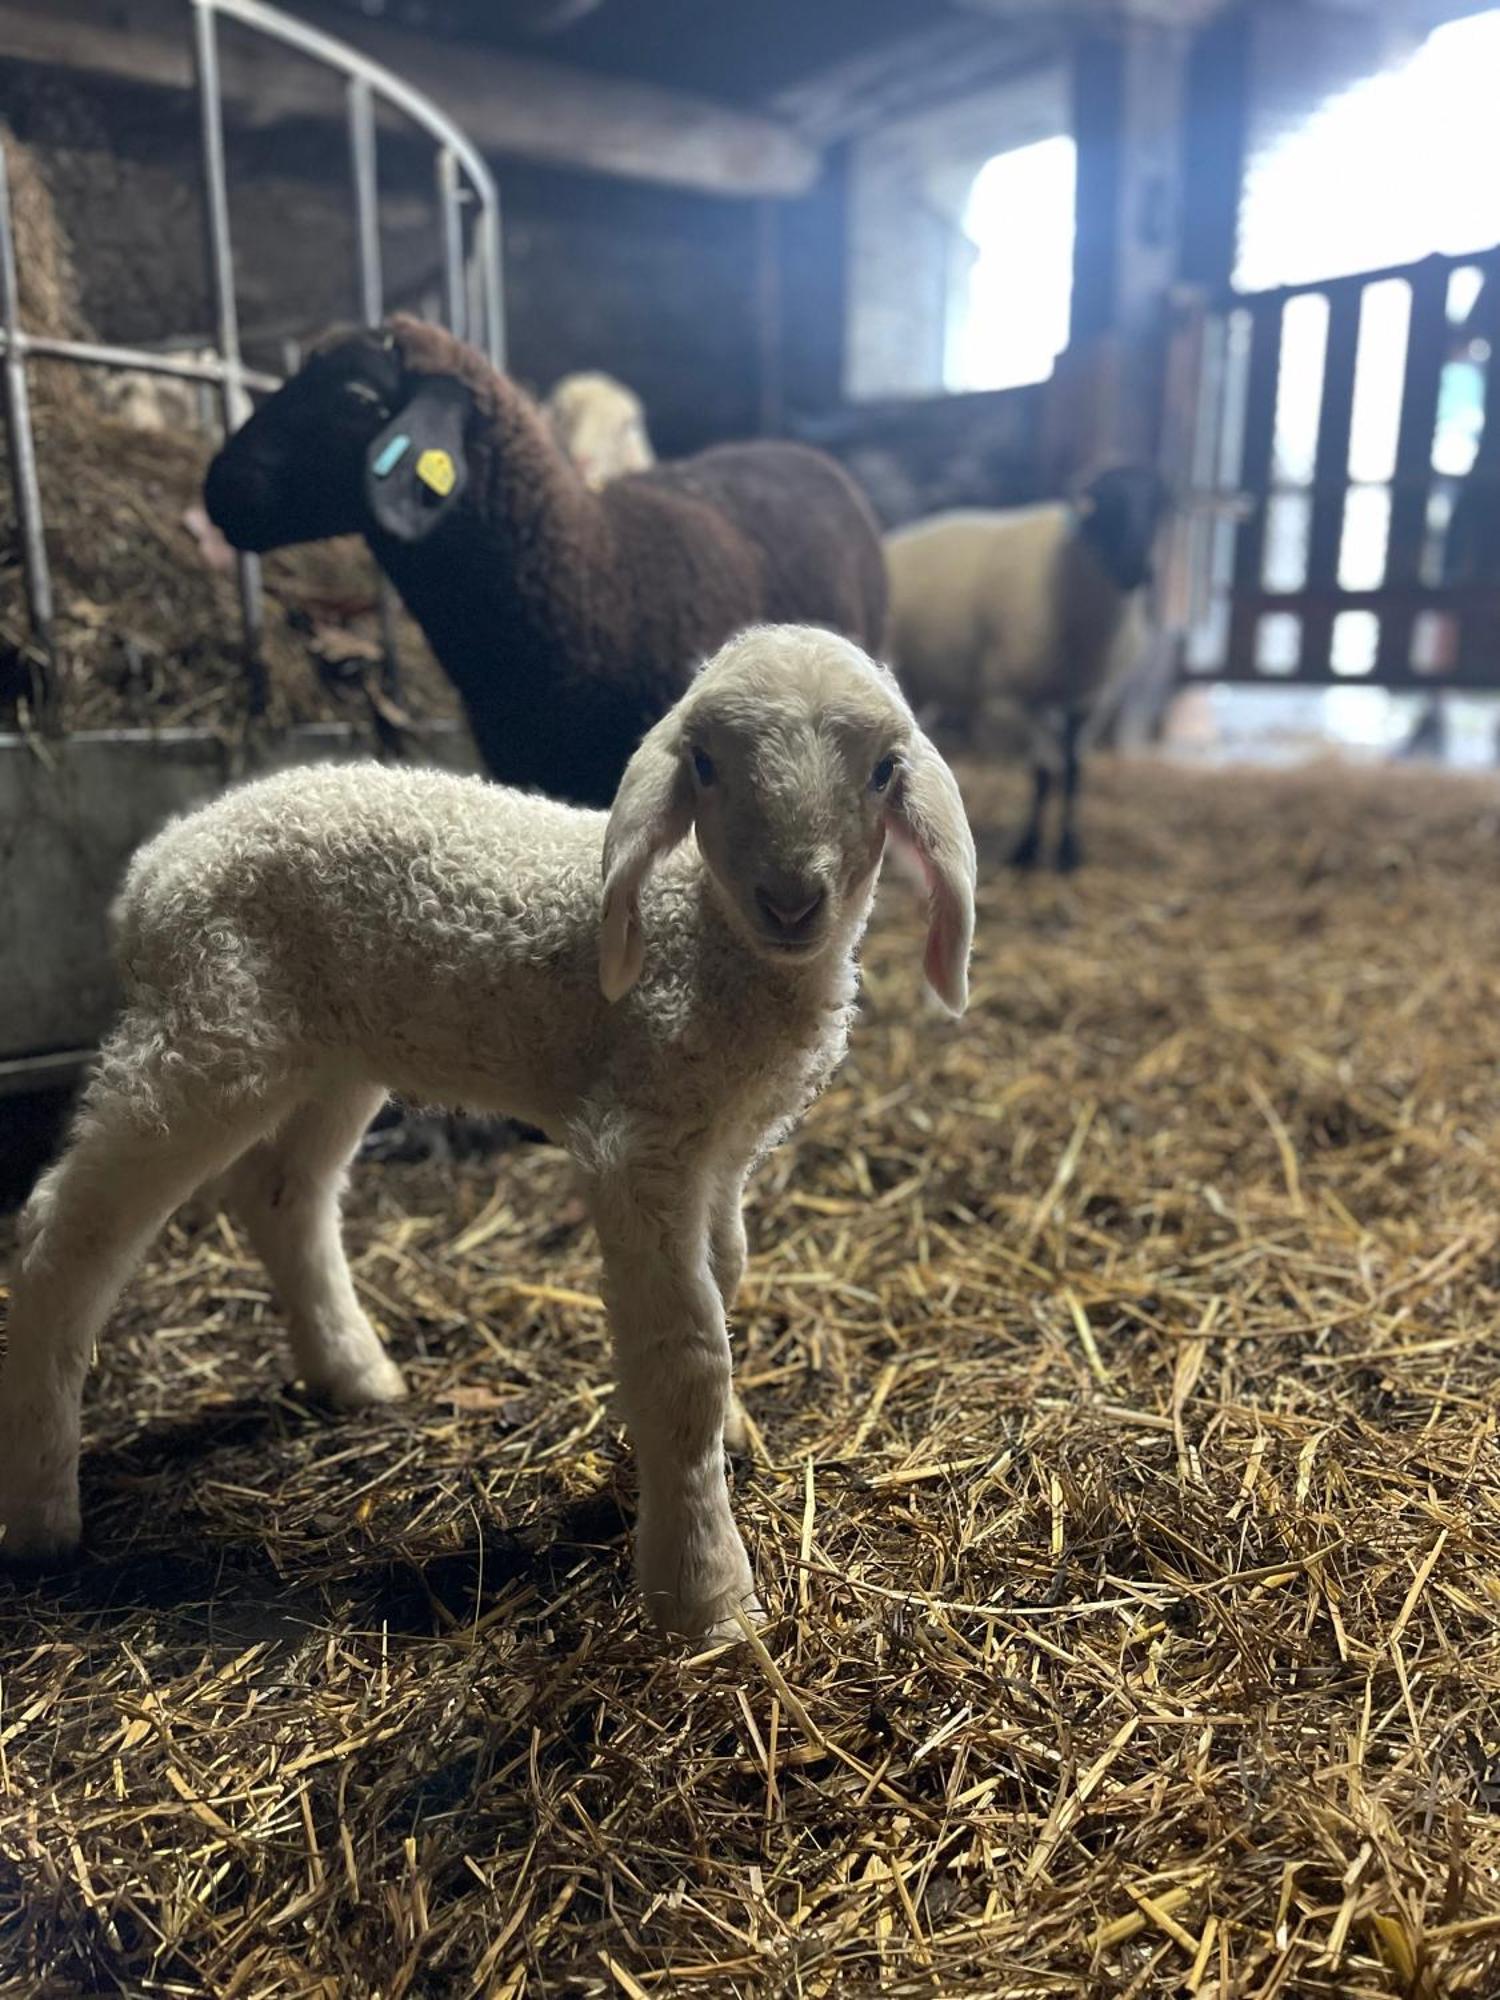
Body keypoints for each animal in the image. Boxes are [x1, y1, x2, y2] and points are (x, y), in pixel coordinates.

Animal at [880, 472, 1176, 880]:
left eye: (1161, 506)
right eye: (1107, 502)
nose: (1138, 570)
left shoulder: (1087, 700)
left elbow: (1073, 772)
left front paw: (1068, 851)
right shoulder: (1017, 699)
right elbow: (1043, 773)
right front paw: (1027, 849)